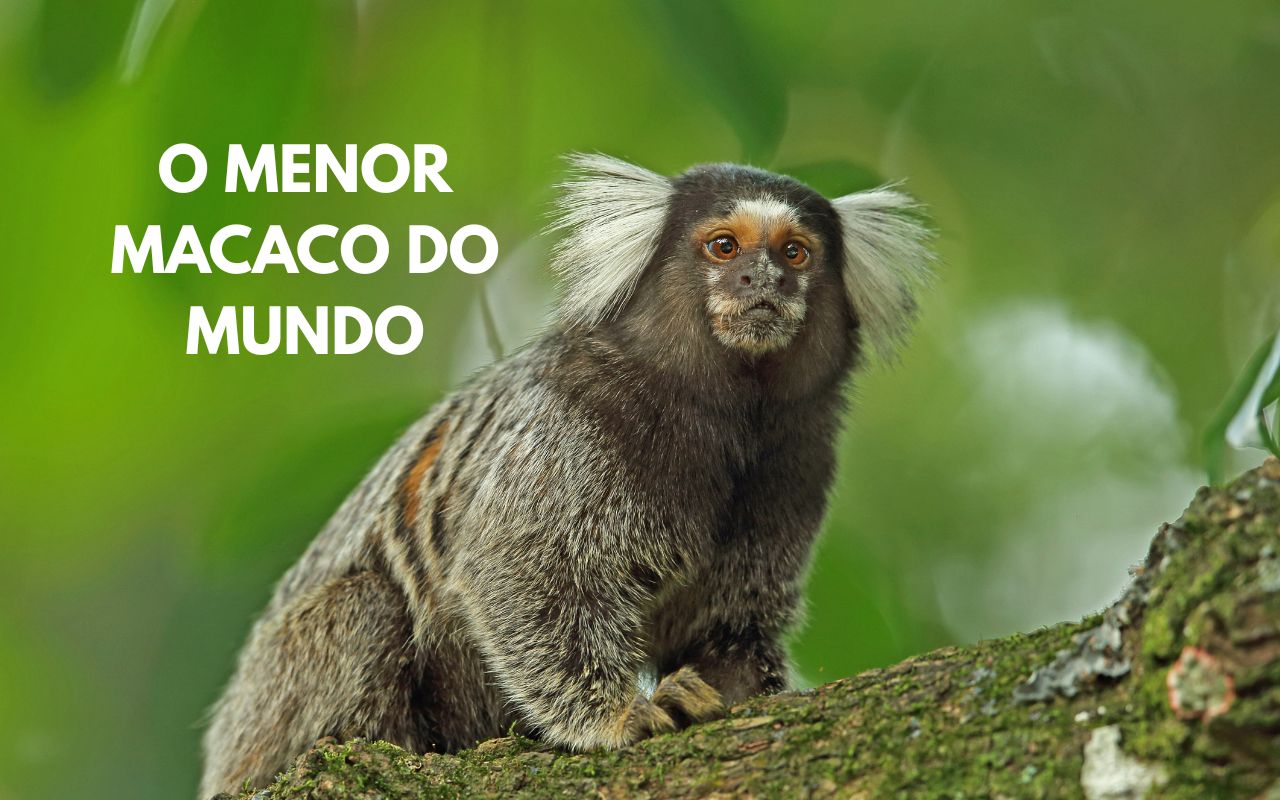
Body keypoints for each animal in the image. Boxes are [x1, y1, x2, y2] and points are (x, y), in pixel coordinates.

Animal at [198, 153, 933, 797]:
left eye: (794, 253)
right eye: (725, 247)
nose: (764, 282)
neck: (726, 418)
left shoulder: (798, 461)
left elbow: (731, 625)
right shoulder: (571, 423)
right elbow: (521, 573)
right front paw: (617, 716)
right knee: (364, 606)